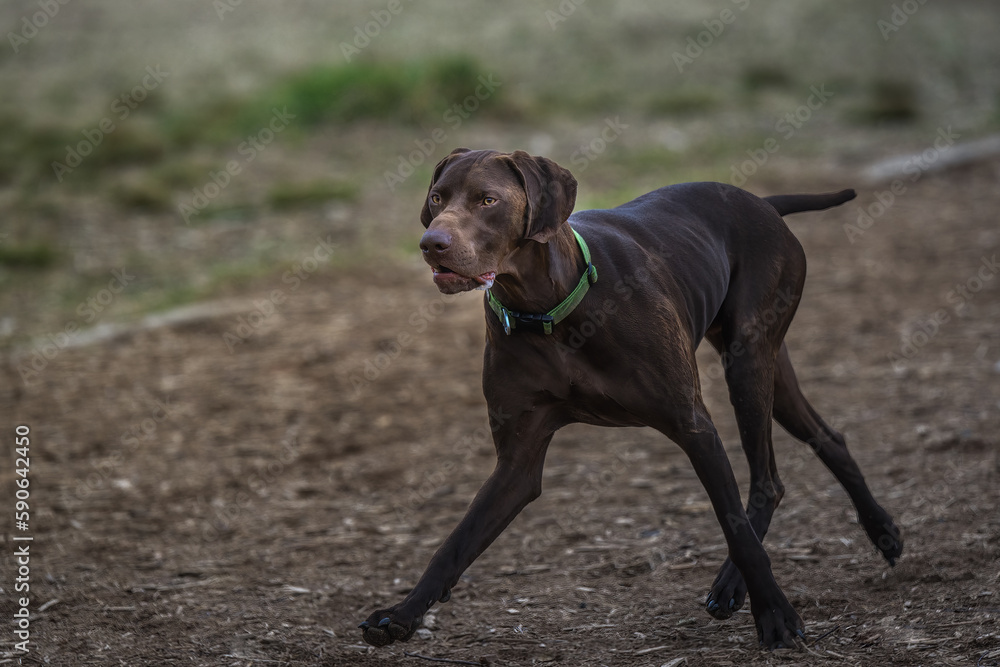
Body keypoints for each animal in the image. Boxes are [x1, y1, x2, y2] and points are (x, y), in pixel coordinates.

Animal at [362, 149, 908, 648]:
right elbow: (455, 544)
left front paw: (775, 616)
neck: (549, 309)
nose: (431, 244)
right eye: (438, 198)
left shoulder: (693, 426)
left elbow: (734, 528)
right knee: (826, 437)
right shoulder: (517, 464)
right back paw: (882, 529)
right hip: (769, 368)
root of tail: (762, 202)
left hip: (749, 364)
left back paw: (737, 585)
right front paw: (402, 614)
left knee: (766, 482)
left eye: (488, 200)